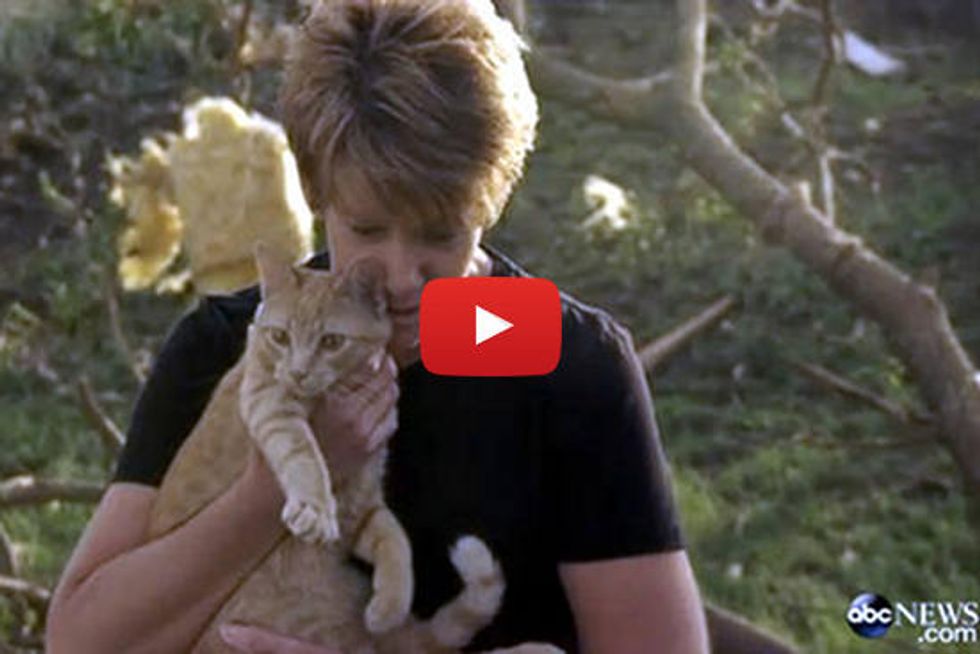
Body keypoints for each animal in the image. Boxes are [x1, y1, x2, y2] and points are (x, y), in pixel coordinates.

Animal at [145, 247, 560, 654]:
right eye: (280, 337)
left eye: (331, 342)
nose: (298, 373)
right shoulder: (269, 402)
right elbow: (303, 455)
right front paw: (314, 508)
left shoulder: (363, 510)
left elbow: (396, 540)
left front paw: (388, 607)